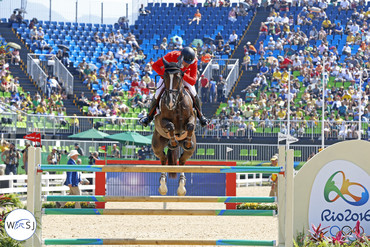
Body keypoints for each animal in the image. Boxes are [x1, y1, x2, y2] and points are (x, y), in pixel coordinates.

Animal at [151, 58, 197, 197]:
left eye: (179, 77)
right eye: (165, 76)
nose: (170, 103)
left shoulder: (192, 117)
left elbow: (190, 125)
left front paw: (187, 142)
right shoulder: (161, 120)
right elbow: (170, 126)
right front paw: (173, 142)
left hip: (189, 152)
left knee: (181, 161)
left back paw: (181, 188)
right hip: (157, 146)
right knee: (163, 159)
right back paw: (163, 186)